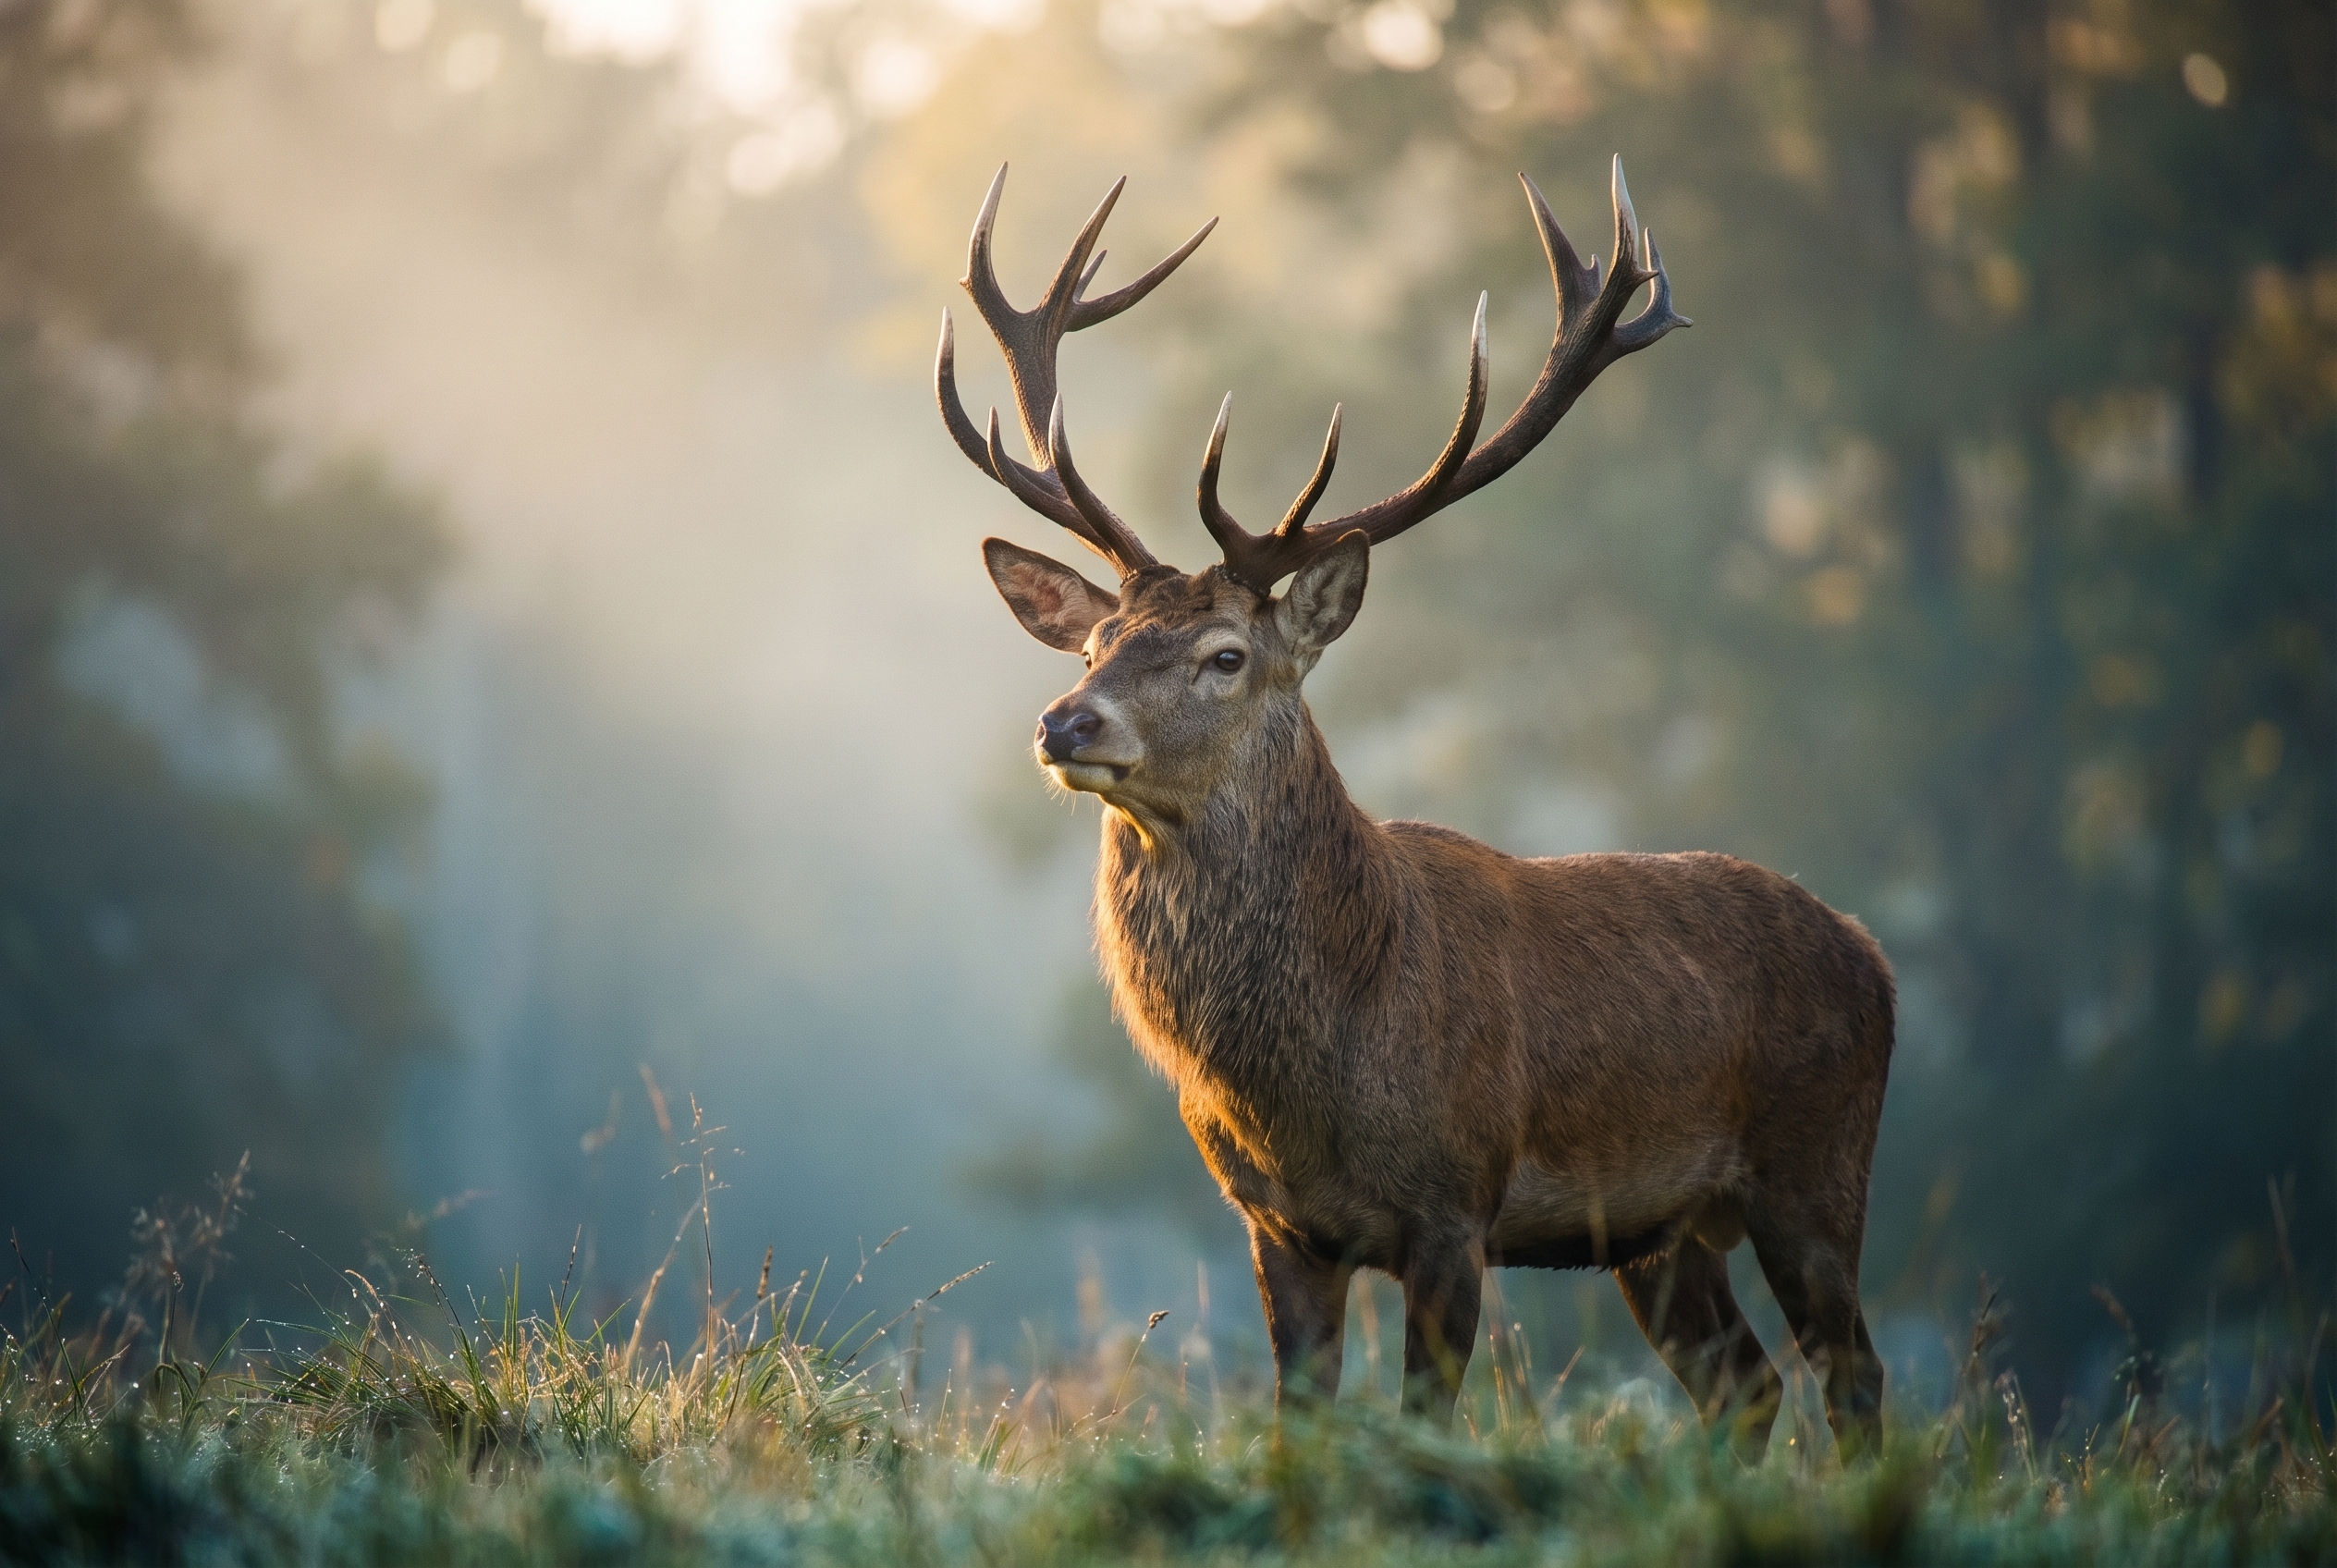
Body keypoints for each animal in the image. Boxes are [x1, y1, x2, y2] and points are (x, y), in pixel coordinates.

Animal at [934, 160, 1894, 1456]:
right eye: (1094, 642)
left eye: (1226, 655)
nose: (1064, 723)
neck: (1311, 1073)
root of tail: (1871, 954)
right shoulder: (1278, 1227)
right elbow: (1301, 1422)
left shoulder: (1454, 1204)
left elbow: (1424, 1419)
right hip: (1657, 1234)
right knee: (1743, 1386)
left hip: (1816, 1168)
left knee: (1853, 1375)